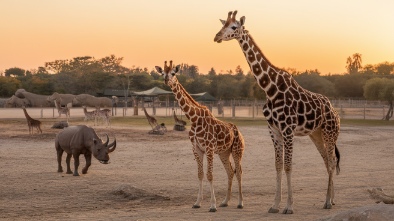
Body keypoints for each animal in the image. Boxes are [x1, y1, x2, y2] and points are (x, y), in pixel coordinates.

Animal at [155, 60, 245, 212]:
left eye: (173, 73)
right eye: (162, 73)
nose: (167, 80)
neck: (194, 118)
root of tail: (238, 130)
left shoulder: (209, 148)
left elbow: (210, 175)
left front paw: (212, 205)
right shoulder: (196, 148)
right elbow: (200, 174)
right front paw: (197, 203)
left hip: (237, 150)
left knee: (238, 171)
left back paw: (240, 203)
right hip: (224, 152)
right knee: (230, 171)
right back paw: (225, 202)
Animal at [214, 10, 340, 214]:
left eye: (233, 26)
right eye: (222, 24)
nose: (216, 36)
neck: (269, 88)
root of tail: (335, 112)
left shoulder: (288, 130)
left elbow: (288, 166)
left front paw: (289, 206)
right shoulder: (273, 130)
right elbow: (278, 166)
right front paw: (274, 205)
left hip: (330, 133)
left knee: (331, 162)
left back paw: (328, 202)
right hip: (316, 134)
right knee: (328, 162)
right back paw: (332, 200)